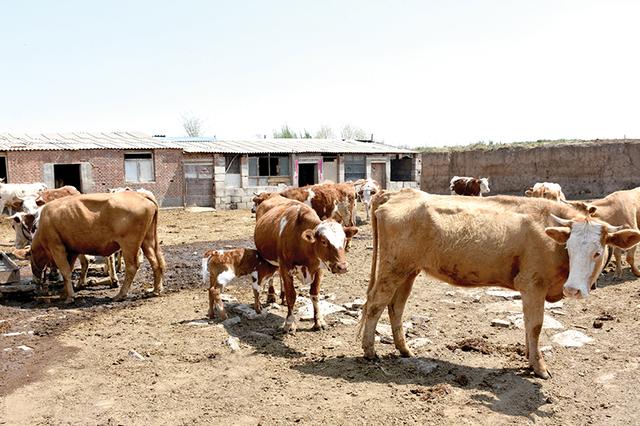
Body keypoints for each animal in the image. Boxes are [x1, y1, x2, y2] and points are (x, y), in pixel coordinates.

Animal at [28, 190, 164, 302]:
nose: (35, 281)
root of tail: (141, 195)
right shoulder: (72, 250)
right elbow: (69, 271)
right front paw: (64, 293)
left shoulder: (56, 247)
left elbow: (65, 272)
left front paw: (69, 297)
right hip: (147, 240)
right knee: (156, 262)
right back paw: (155, 290)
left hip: (129, 244)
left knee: (132, 267)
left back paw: (120, 295)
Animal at [252, 201, 358, 332]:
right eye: (323, 241)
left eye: (344, 240)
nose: (342, 267)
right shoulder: (285, 267)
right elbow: (291, 295)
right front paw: (289, 323)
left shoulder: (319, 268)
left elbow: (315, 294)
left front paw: (319, 321)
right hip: (269, 259)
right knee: (272, 276)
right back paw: (271, 295)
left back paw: (282, 296)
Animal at [358, 188, 640, 378]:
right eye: (568, 248)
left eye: (597, 252)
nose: (573, 289)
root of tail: (398, 193)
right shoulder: (532, 285)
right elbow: (536, 326)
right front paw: (539, 367)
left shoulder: (530, 290)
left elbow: (528, 324)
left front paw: (529, 358)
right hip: (392, 268)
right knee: (375, 304)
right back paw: (370, 352)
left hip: (409, 270)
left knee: (396, 307)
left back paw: (404, 349)